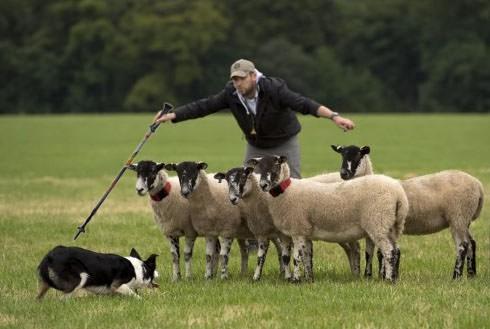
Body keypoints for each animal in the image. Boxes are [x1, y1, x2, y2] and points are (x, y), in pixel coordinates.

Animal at [247, 156, 408, 282]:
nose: (263, 185)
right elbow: (302, 257)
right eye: (258, 168)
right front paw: (307, 279)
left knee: (389, 252)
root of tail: (399, 194)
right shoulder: (298, 232)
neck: (286, 192)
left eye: (275, 166)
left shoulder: (298, 229)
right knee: (395, 250)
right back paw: (393, 277)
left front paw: (295, 280)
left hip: (378, 222)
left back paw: (388, 280)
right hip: (390, 225)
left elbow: (296, 257)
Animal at [332, 145, 484, 278]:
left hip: (458, 215)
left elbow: (382, 252)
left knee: (462, 245)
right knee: (471, 243)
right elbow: (378, 252)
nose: (344, 173)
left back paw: (456, 276)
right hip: (464, 219)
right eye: (342, 155)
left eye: (358, 155)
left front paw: (382, 276)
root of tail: (478, 185)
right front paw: (384, 275)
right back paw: (471, 275)